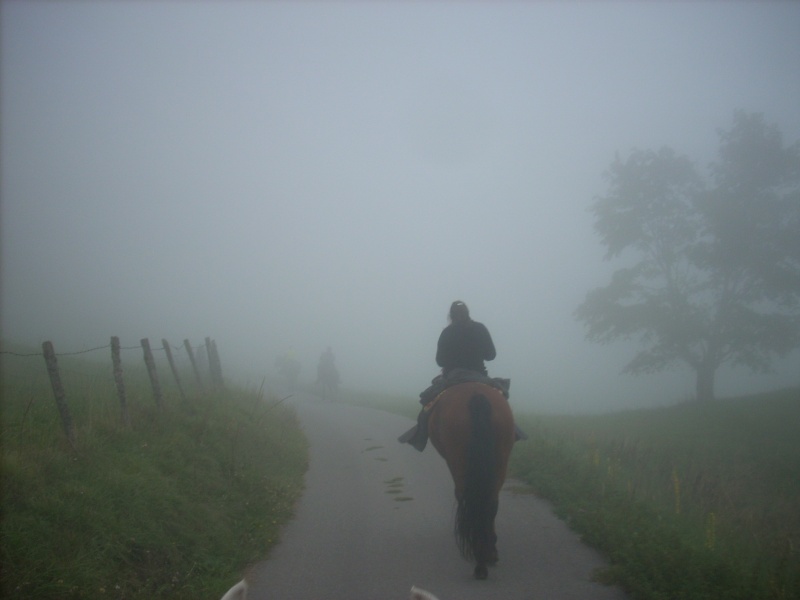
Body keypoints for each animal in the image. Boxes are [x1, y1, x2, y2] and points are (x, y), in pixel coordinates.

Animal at [428, 382, 516, 580]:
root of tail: (476, 395)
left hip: (459, 463)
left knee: (470, 500)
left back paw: (480, 561)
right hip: (499, 464)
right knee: (490, 503)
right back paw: (488, 553)